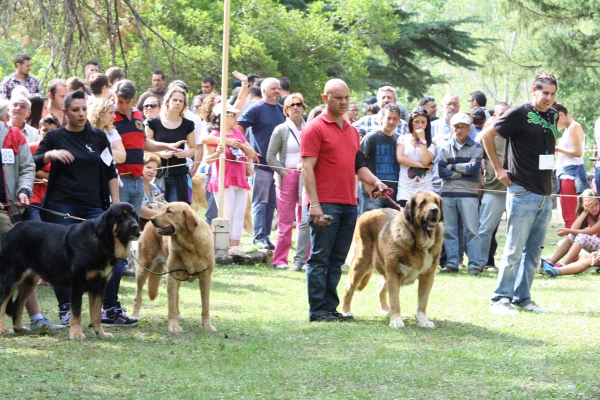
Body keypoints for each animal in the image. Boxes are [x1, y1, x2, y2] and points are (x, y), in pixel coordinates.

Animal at [0, 205, 137, 340]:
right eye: (121, 216)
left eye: (134, 216)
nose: (135, 226)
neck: (100, 241)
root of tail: (9, 232)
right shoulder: (77, 285)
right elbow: (76, 313)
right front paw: (76, 334)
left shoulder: (99, 287)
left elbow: (96, 315)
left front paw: (101, 334)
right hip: (12, 278)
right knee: (2, 302)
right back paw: (3, 329)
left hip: (29, 283)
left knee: (18, 304)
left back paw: (19, 328)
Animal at [132, 202, 217, 332]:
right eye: (163, 210)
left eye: (169, 211)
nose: (152, 219)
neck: (189, 245)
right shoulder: (172, 276)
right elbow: (171, 304)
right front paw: (174, 326)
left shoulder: (206, 277)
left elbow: (205, 305)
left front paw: (207, 325)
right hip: (143, 268)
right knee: (138, 296)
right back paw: (134, 316)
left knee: (177, 295)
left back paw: (179, 314)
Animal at [340, 193, 442, 328]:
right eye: (423, 203)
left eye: (436, 202)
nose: (435, 210)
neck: (420, 242)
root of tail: (369, 212)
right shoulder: (393, 273)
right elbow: (395, 300)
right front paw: (396, 320)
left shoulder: (428, 276)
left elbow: (422, 301)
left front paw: (423, 321)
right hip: (361, 262)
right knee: (349, 288)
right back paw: (346, 311)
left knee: (380, 288)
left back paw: (385, 309)